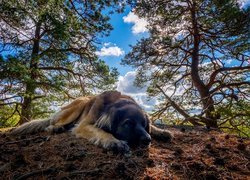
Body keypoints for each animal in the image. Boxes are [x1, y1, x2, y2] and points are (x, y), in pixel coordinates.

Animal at [10, 91, 174, 152]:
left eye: (144, 124)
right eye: (128, 123)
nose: (147, 140)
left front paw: (161, 131)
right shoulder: (83, 125)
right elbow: (100, 131)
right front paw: (113, 141)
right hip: (79, 105)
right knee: (53, 123)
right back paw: (54, 128)